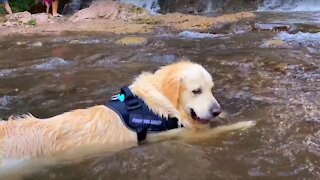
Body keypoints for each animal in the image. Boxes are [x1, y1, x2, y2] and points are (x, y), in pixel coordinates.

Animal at [0, 61, 255, 162]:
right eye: (196, 91)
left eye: (211, 89)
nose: (217, 110)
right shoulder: (180, 134)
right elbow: (217, 130)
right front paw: (247, 123)